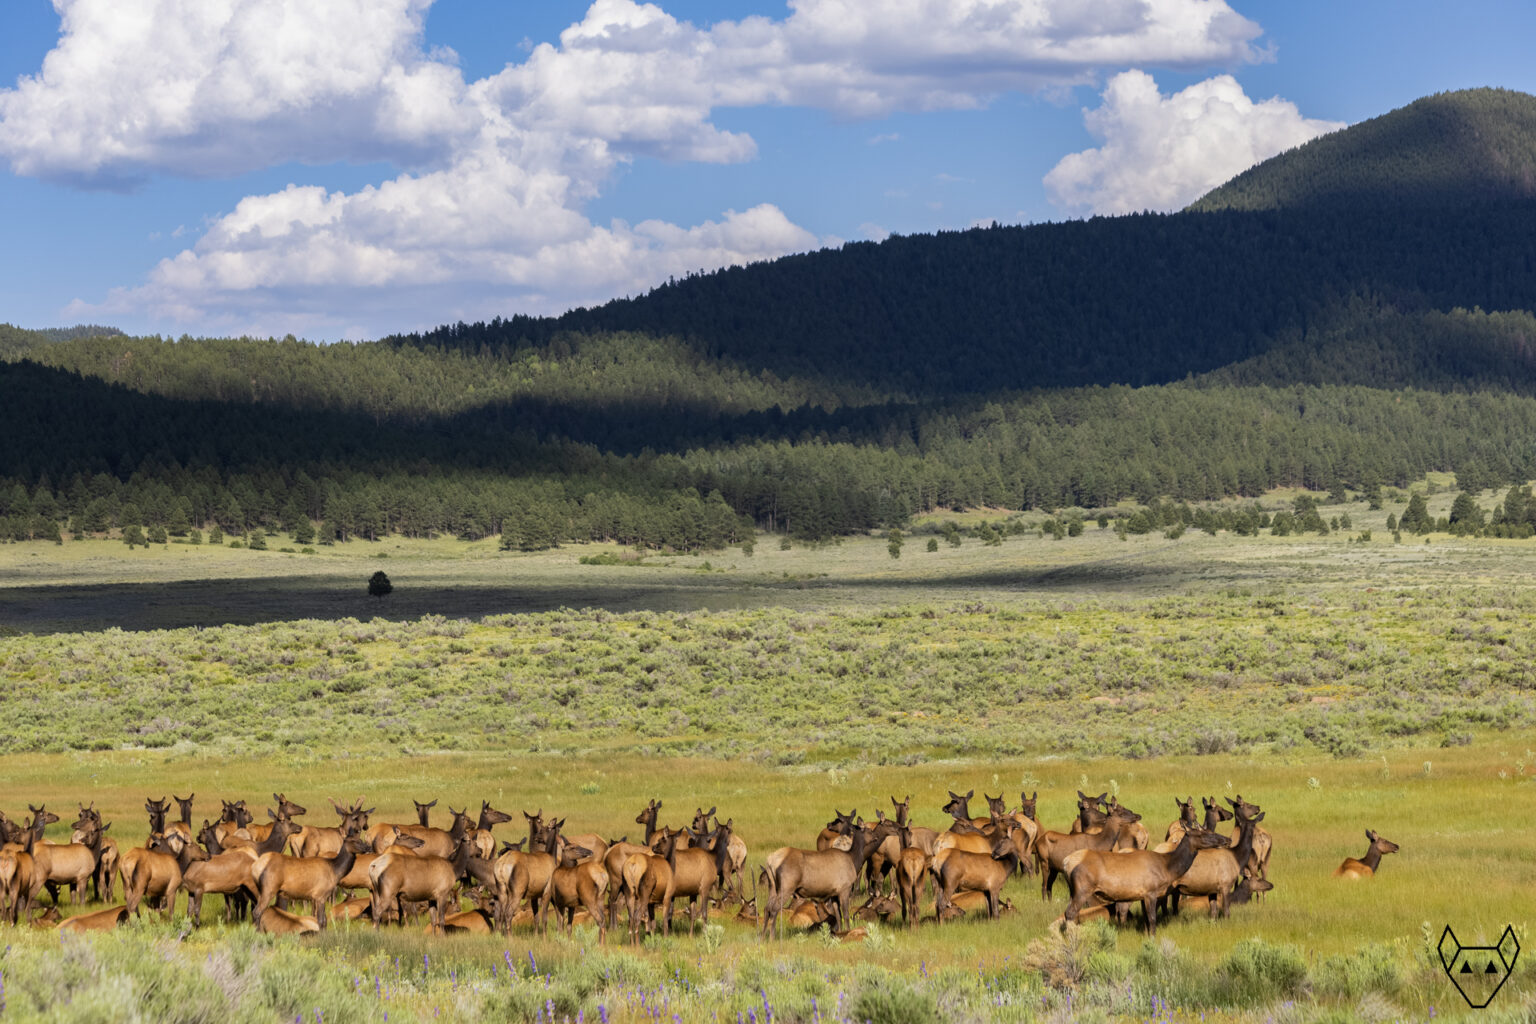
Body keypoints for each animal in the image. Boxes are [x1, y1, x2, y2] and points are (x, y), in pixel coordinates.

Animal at [1063, 825, 1232, 934]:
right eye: (1203, 834)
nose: (1227, 839)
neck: (1168, 867)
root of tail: (1067, 862)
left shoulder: (1143, 895)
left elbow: (1145, 919)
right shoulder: (1151, 891)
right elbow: (1152, 918)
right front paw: (1153, 939)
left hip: (1072, 890)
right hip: (1083, 888)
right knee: (1070, 913)